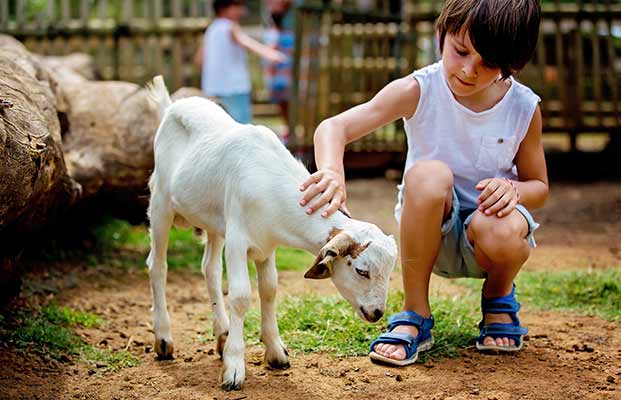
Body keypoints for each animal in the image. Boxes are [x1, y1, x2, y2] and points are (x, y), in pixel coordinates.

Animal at [145, 76, 394, 390]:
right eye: (362, 271)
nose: (377, 313)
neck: (268, 181)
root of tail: (172, 106)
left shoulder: (267, 245)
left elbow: (269, 289)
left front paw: (275, 352)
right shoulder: (238, 241)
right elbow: (240, 296)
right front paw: (234, 368)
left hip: (214, 221)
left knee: (209, 269)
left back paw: (222, 334)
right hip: (161, 205)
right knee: (157, 266)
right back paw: (164, 339)